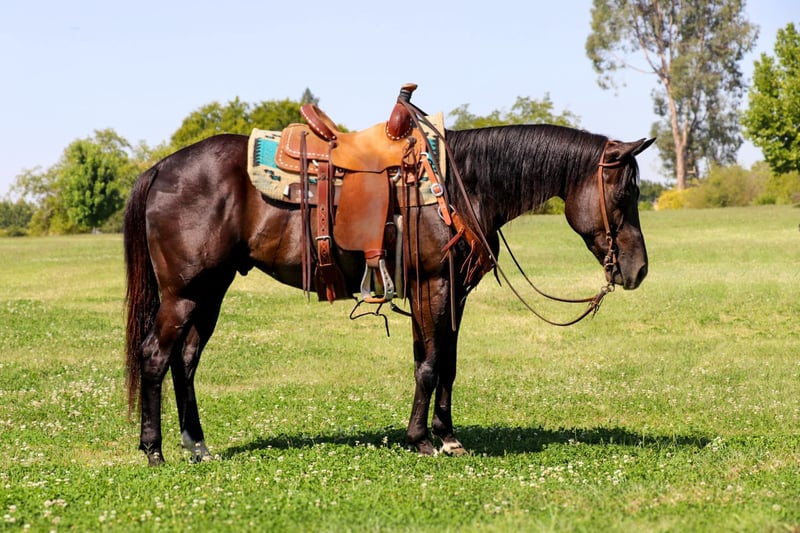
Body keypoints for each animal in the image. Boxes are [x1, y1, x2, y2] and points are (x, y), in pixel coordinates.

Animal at [123, 120, 653, 466]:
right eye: (624, 194)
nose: (639, 269)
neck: (458, 187)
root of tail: (162, 168)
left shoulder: (449, 293)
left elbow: (445, 364)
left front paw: (447, 436)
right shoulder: (433, 285)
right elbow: (430, 364)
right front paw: (422, 439)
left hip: (210, 290)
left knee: (185, 360)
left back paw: (197, 446)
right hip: (184, 292)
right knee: (155, 356)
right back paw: (154, 450)